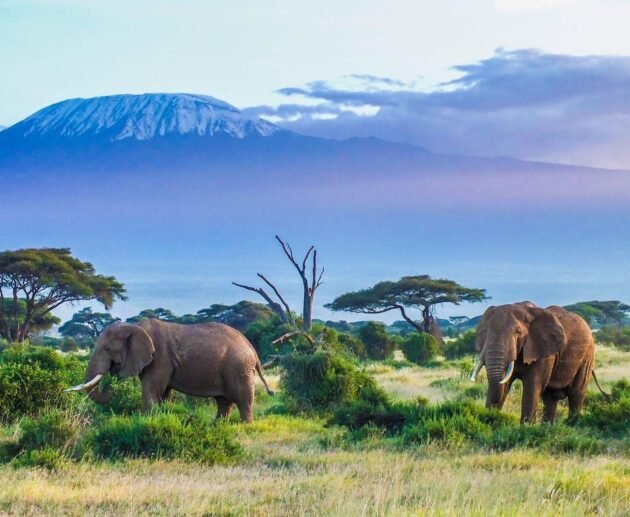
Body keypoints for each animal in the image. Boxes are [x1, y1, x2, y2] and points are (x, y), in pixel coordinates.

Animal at [68, 316, 276, 422]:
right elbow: (164, 393)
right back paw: (218, 426)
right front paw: (162, 416)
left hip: (239, 367)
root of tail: (253, 350)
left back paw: (245, 426)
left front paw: (149, 421)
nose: (110, 391)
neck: (134, 326)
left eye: (107, 349)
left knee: (242, 398)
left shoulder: (160, 357)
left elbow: (151, 389)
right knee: (223, 401)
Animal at [474, 300, 604, 422]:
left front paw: (526, 428)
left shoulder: (543, 351)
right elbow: (504, 383)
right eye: (485, 331)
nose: (491, 413)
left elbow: (532, 386)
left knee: (576, 394)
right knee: (550, 398)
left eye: (517, 332)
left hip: (588, 355)